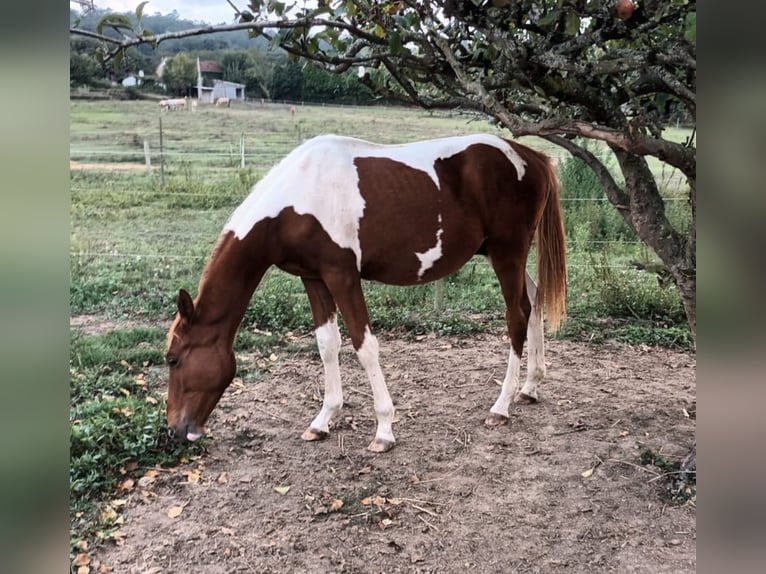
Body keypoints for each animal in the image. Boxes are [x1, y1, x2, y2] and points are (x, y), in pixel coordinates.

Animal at [165, 134, 568, 454]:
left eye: (172, 359)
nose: (177, 429)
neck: (297, 197)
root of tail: (530, 157)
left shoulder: (342, 276)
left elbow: (364, 345)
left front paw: (384, 429)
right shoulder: (314, 278)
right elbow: (327, 344)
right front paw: (323, 420)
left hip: (507, 254)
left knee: (516, 316)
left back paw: (501, 406)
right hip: (507, 256)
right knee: (533, 303)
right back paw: (529, 387)